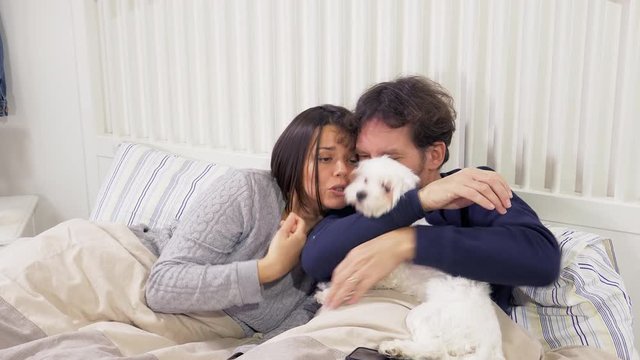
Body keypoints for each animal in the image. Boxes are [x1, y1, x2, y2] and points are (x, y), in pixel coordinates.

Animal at [340, 158, 504, 360]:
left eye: (386, 187)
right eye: (364, 180)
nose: (360, 194)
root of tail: (490, 342)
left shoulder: (387, 269)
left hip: (427, 316)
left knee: (434, 348)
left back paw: (396, 348)